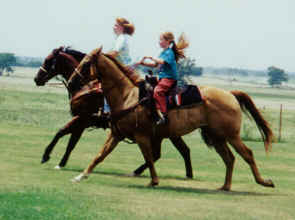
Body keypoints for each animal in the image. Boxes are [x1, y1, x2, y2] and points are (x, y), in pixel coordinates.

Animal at [34, 46, 194, 177]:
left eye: (48, 60)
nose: (36, 79)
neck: (86, 87)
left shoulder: (83, 119)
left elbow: (68, 139)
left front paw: (54, 160)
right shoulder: (82, 120)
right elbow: (64, 135)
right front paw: (52, 158)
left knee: (176, 151)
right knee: (176, 151)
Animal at [69, 46, 276, 191]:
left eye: (86, 63)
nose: (71, 81)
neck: (128, 96)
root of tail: (230, 94)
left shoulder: (142, 136)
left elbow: (149, 157)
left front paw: (154, 180)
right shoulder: (116, 135)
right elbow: (99, 156)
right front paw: (80, 176)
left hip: (231, 135)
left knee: (247, 154)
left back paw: (264, 182)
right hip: (216, 137)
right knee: (229, 158)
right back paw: (225, 186)